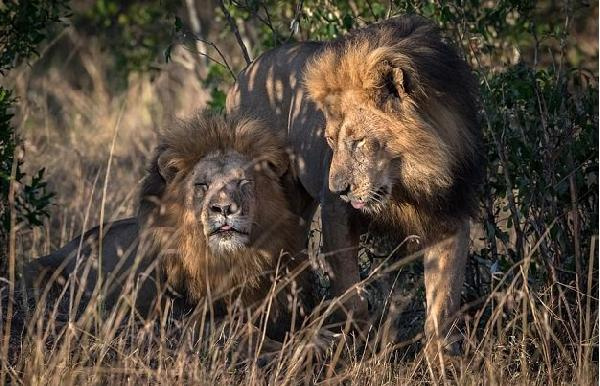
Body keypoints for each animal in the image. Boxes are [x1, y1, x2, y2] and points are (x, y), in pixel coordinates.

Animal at [23, 111, 314, 340]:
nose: (223, 209)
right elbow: (242, 330)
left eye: (244, 182)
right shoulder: (181, 318)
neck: (227, 261)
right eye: (202, 185)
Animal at [227, 15, 486, 358]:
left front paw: (442, 360)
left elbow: (443, 304)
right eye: (329, 139)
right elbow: (351, 296)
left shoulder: (451, 216)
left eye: (358, 140)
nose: (338, 188)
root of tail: (242, 75)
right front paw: (356, 347)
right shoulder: (337, 215)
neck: (409, 182)